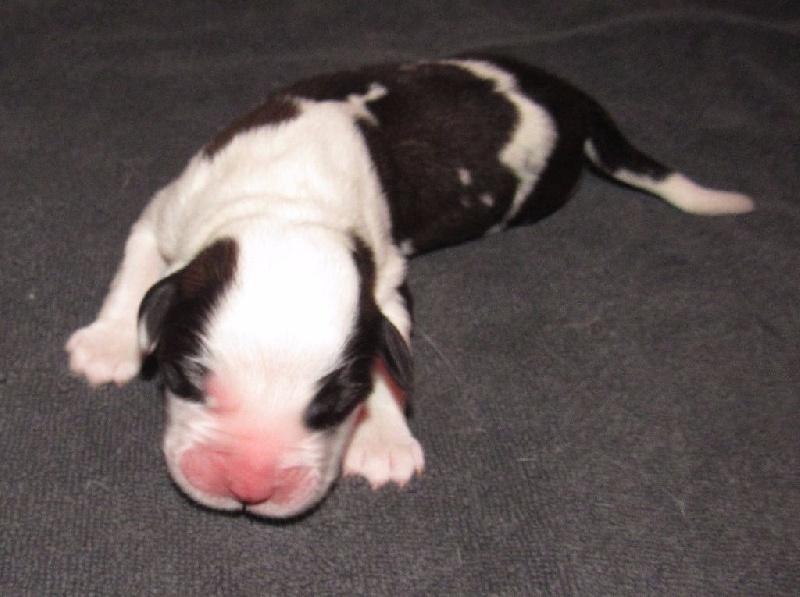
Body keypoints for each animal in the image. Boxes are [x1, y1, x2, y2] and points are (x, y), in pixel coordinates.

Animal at [66, 54, 753, 518]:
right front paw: (108, 344)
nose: (248, 489)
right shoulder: (170, 210)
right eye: (184, 376)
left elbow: (391, 363)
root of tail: (571, 96)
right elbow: (136, 272)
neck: (286, 202)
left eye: (337, 402)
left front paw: (384, 440)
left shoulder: (387, 284)